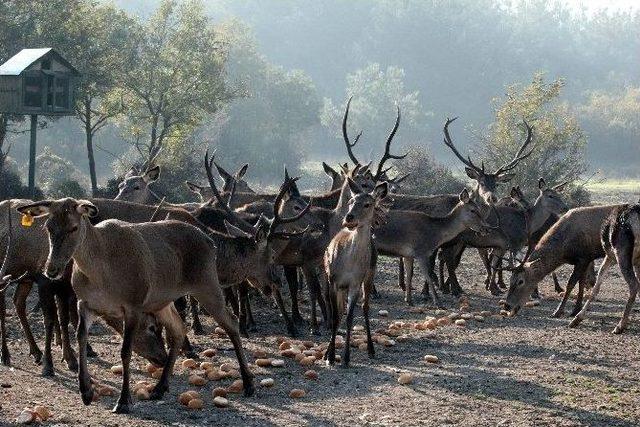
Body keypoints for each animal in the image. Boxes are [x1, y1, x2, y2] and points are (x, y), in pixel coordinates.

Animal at [16, 198, 255, 414]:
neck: (101, 273)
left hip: (207, 285)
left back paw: (249, 384)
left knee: (231, 323)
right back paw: (159, 388)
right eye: (48, 226)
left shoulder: (133, 305)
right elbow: (81, 337)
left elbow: (125, 351)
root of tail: (210, 241)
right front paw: (86, 392)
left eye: (74, 227)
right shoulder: (85, 304)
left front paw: (123, 401)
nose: (51, 269)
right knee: (179, 329)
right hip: (162, 301)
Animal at [322, 179, 388, 366]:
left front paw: (345, 358)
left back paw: (371, 350)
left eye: (368, 204)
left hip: (370, 275)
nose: (349, 217)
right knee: (339, 311)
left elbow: (350, 318)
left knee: (365, 307)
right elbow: (335, 317)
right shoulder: (333, 280)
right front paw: (330, 357)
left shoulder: (355, 284)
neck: (349, 264)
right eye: (351, 201)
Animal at [568, 205, 640, 334]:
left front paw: (577, 318)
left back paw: (620, 326)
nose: (587, 282)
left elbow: (596, 286)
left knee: (633, 285)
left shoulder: (610, 256)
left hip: (621, 254)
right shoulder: (636, 261)